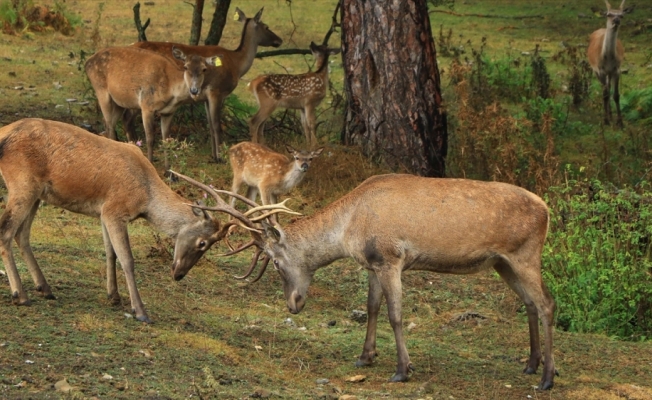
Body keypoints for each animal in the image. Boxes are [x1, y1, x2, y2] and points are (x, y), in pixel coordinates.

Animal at [0, 118, 250, 322]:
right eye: (202, 243)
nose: (179, 275)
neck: (146, 196)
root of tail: (5, 132)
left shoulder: (103, 211)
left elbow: (110, 252)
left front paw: (114, 296)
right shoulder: (115, 210)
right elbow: (127, 259)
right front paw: (140, 311)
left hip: (37, 194)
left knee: (22, 235)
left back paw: (45, 288)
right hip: (23, 184)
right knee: (6, 231)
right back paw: (20, 295)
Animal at [83, 46, 216, 165]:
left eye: (204, 69)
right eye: (185, 67)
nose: (194, 90)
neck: (171, 90)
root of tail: (87, 62)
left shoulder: (169, 112)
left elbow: (166, 140)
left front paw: (169, 171)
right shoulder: (147, 105)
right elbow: (150, 139)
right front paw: (151, 163)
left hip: (119, 102)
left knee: (110, 124)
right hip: (101, 90)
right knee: (109, 125)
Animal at [132, 7, 282, 162]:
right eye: (266, 27)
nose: (279, 40)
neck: (236, 65)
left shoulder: (205, 97)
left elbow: (210, 125)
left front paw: (214, 155)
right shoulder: (216, 90)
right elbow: (217, 125)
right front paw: (221, 157)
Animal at [177, 173, 556, 390]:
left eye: (278, 263)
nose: (293, 304)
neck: (348, 229)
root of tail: (547, 209)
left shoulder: (391, 258)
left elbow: (395, 315)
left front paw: (403, 369)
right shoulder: (373, 264)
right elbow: (372, 307)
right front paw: (365, 357)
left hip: (525, 255)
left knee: (547, 303)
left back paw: (548, 378)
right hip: (503, 263)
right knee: (529, 303)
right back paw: (530, 364)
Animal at [588, 0, 636, 128]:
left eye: (622, 15)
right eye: (609, 14)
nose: (616, 20)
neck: (608, 58)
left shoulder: (617, 70)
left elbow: (616, 95)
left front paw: (620, 122)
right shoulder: (600, 70)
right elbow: (605, 95)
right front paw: (605, 121)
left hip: (609, 73)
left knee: (608, 88)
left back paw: (610, 114)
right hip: (595, 71)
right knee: (604, 90)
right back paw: (608, 116)